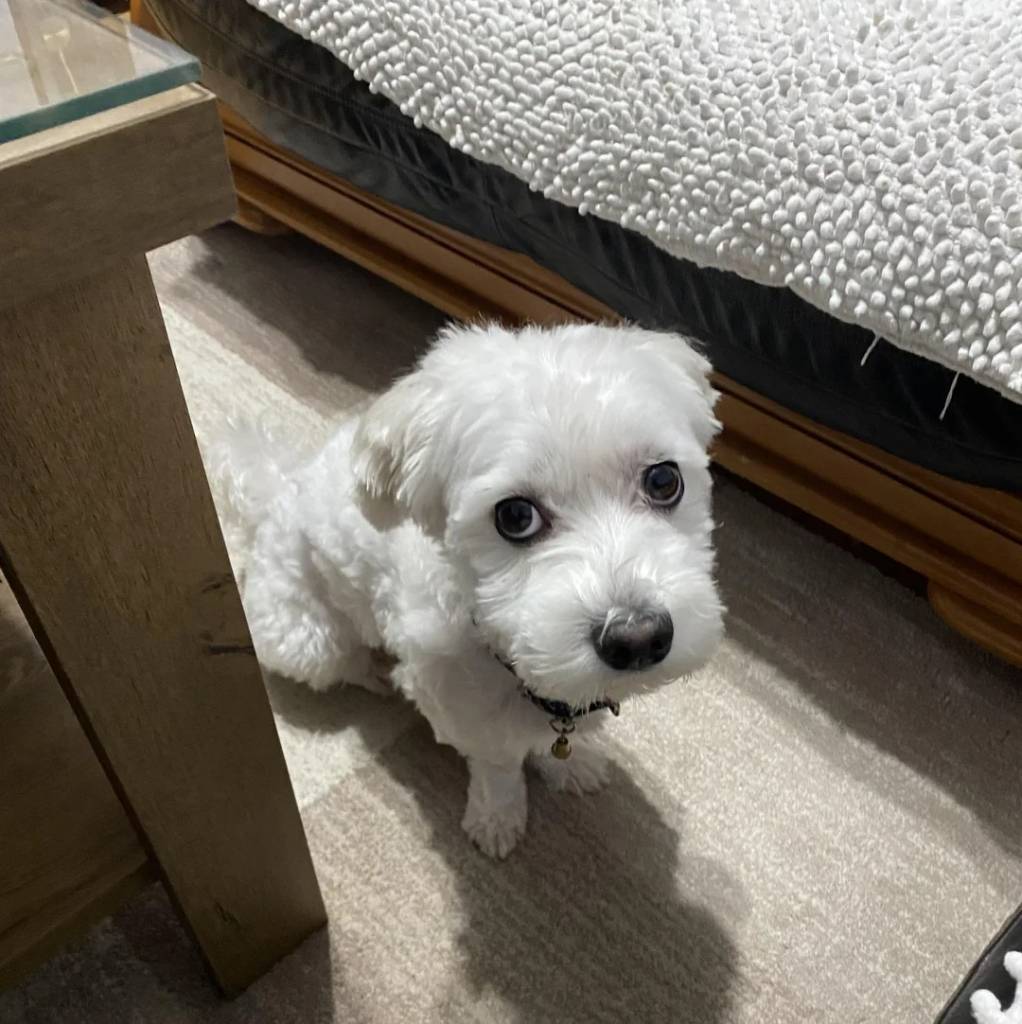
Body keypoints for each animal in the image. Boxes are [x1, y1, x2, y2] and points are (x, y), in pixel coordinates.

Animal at [211, 322, 724, 858]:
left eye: (664, 480)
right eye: (515, 516)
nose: (639, 638)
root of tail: (275, 496)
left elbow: (560, 746)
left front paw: (574, 763)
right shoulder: (464, 713)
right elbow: (498, 767)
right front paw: (497, 818)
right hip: (307, 641)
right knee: (339, 660)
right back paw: (374, 671)